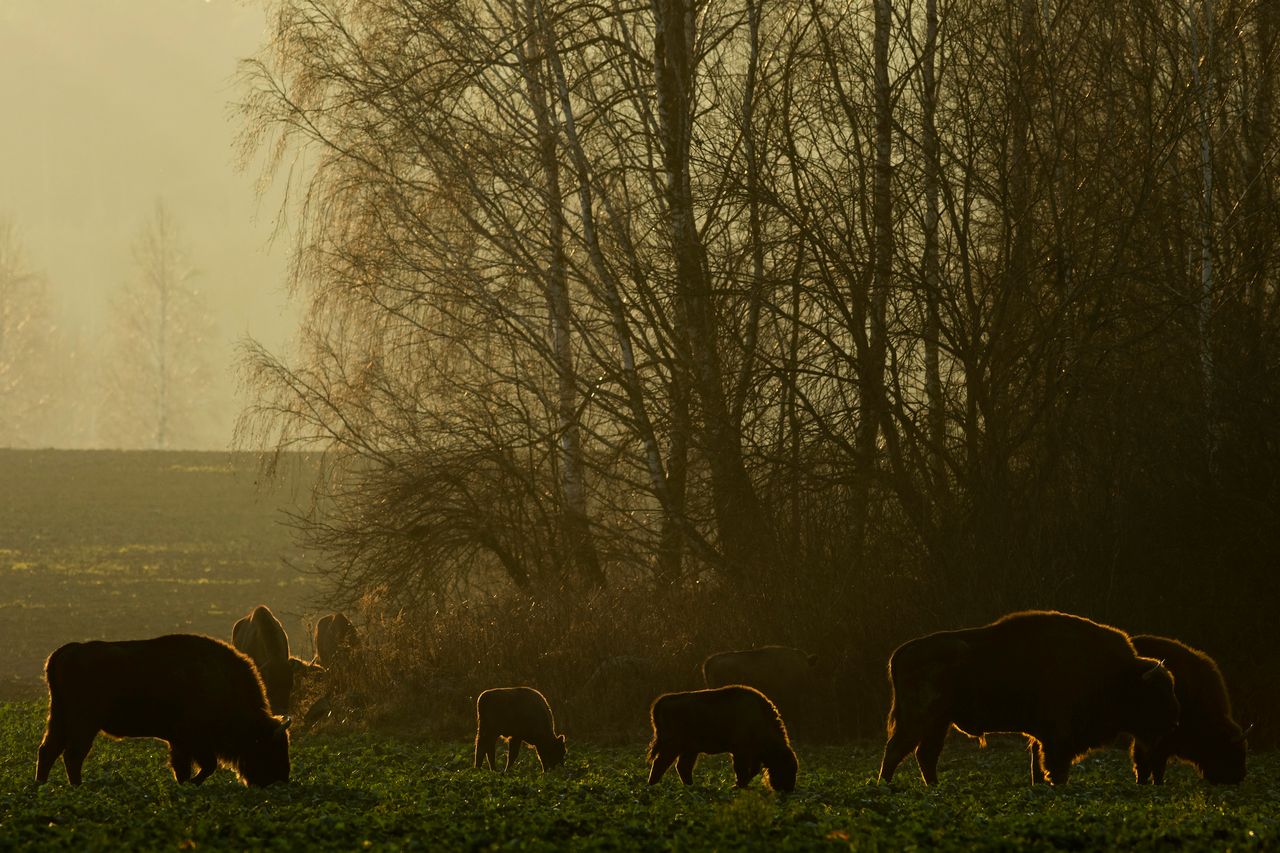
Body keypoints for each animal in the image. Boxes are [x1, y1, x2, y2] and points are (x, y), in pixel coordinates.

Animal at [34, 630, 290, 783]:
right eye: (270, 746)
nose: (281, 779)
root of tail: (67, 651)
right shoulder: (193, 739)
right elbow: (206, 766)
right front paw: (192, 784)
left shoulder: (180, 742)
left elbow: (186, 767)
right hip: (84, 722)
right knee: (73, 754)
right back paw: (75, 788)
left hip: (59, 716)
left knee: (48, 749)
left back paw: (41, 786)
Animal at [650, 681, 798, 788]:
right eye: (786, 767)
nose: (788, 789)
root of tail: (663, 700)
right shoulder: (740, 751)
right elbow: (741, 769)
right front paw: (738, 786)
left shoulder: (752, 754)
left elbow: (753, 770)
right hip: (673, 746)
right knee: (660, 763)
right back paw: (652, 786)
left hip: (689, 750)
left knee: (682, 767)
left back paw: (691, 787)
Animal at [880, 612, 1177, 783]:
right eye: (1156, 695)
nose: (1173, 723)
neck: (1117, 674)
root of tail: (901, 652)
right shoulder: (1059, 739)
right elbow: (1055, 768)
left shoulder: (1042, 737)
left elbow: (1037, 765)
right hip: (919, 720)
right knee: (897, 750)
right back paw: (886, 789)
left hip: (938, 724)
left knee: (924, 755)